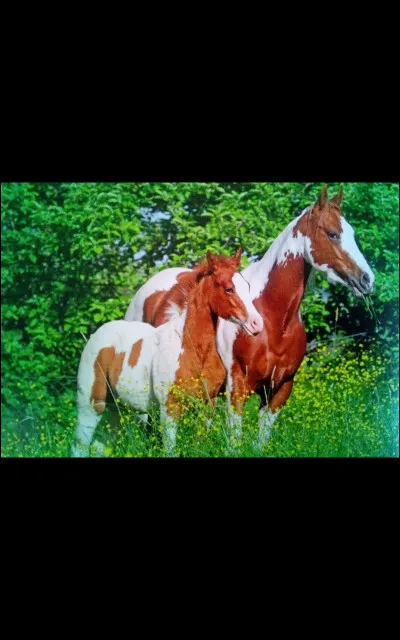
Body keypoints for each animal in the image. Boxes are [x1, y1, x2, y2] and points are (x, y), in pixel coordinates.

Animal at [73, 249, 263, 457]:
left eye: (247, 286)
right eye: (229, 289)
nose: (257, 324)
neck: (193, 351)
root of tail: (97, 334)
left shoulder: (207, 406)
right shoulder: (169, 408)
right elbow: (170, 449)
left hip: (116, 409)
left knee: (101, 446)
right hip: (91, 404)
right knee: (80, 446)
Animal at [124, 185, 375, 446]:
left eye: (353, 234)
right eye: (333, 234)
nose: (367, 279)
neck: (274, 321)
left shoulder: (279, 390)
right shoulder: (237, 387)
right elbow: (235, 442)